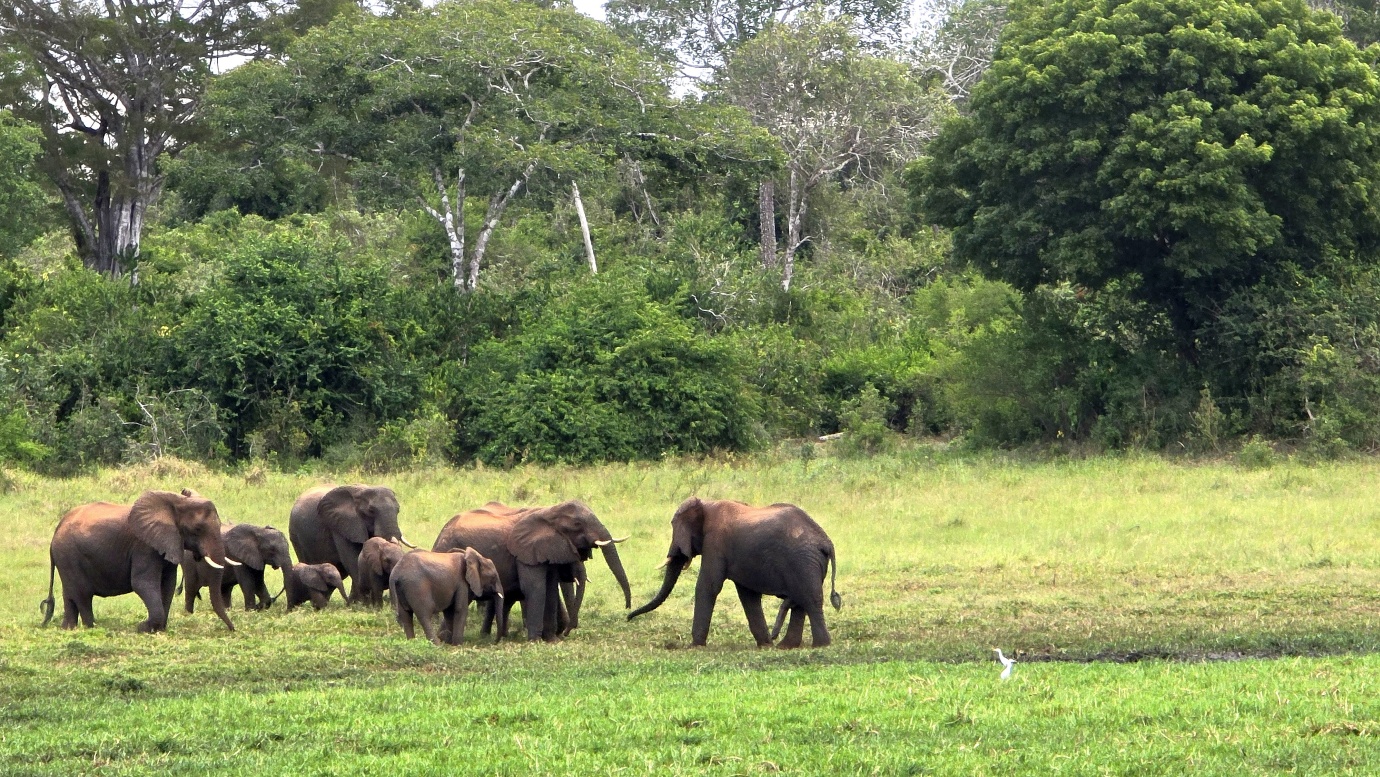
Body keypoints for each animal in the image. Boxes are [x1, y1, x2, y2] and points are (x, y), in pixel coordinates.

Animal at [41, 490, 235, 633]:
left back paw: (68, 629)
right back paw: (91, 628)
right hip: (68, 554)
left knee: (70, 595)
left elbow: (168, 584)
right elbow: (143, 583)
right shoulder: (144, 546)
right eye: (197, 529)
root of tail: (57, 529)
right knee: (82, 594)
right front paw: (143, 627)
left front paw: (158, 629)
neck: (176, 502)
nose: (233, 629)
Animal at [432, 501, 632, 642]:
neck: (548, 511)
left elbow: (550, 589)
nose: (627, 608)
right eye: (577, 524)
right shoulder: (525, 553)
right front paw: (535, 639)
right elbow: (535, 588)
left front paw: (551, 640)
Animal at [628, 498, 842, 649]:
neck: (707, 504)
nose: (629, 617)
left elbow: (708, 586)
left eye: (674, 526)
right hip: (807, 563)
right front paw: (765, 645)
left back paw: (820, 645)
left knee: (810, 599)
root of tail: (826, 542)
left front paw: (694, 646)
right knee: (800, 601)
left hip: (803, 562)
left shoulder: (715, 542)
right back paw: (786, 646)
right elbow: (748, 595)